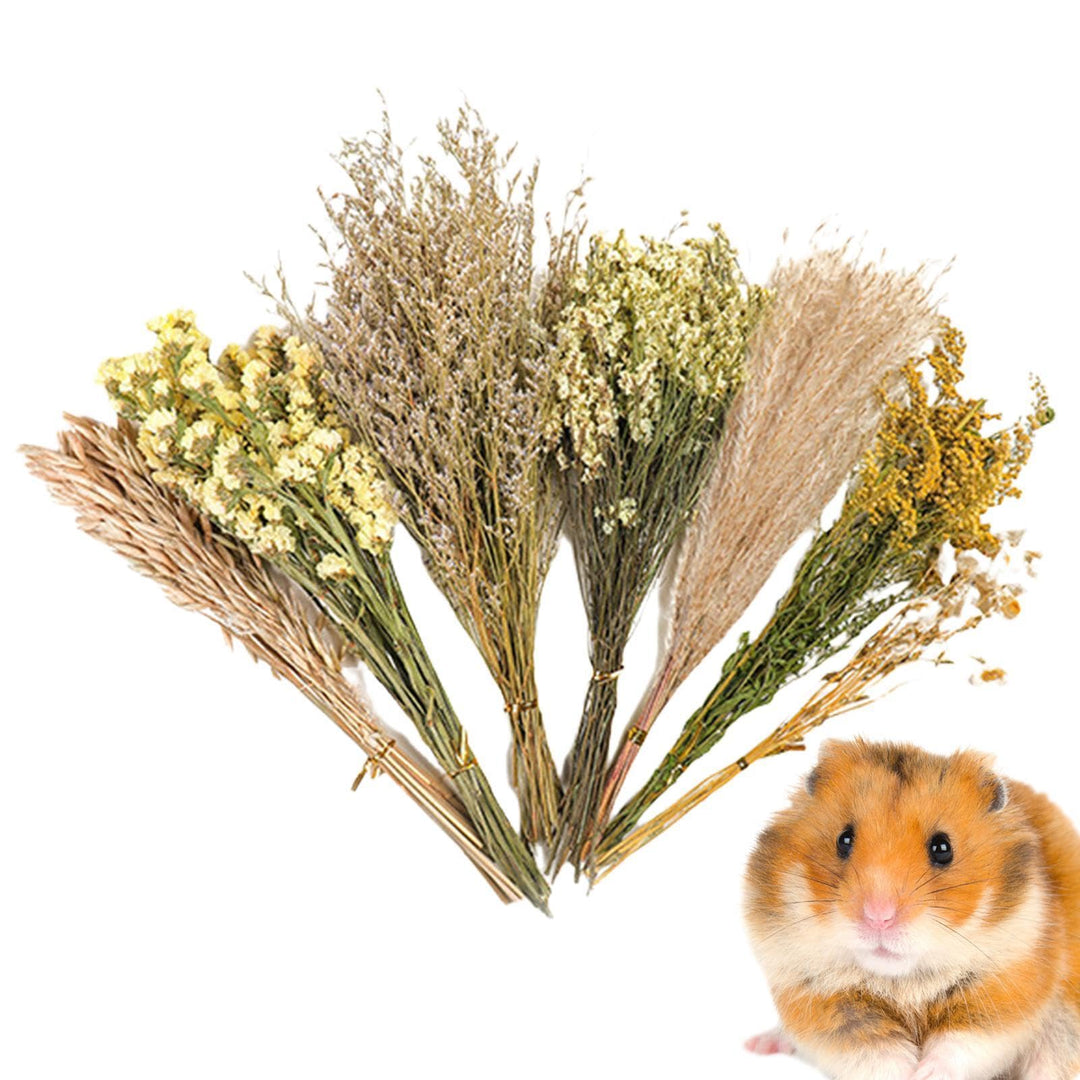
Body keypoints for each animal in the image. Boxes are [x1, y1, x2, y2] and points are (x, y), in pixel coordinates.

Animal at [743, 739, 1080, 1080]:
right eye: (844, 839)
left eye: (943, 848)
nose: (879, 916)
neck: (902, 982)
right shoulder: (821, 1001)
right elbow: (874, 1051)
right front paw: (906, 1072)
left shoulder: (1002, 993)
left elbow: (960, 1043)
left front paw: (926, 1073)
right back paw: (759, 1044)